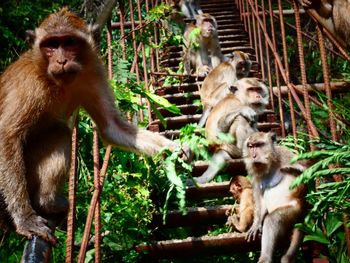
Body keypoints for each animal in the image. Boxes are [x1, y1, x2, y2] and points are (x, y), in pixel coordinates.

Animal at [0, 7, 178, 245]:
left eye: (69, 42)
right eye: (51, 45)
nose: (61, 60)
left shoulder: (92, 74)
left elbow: (111, 126)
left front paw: (177, 148)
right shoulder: (28, 83)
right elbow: (7, 136)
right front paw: (25, 218)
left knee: (59, 131)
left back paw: (46, 202)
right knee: (59, 131)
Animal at [242, 132, 308, 263]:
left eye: (259, 145)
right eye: (251, 146)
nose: (253, 156)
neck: (271, 163)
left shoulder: (287, 154)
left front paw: (296, 170)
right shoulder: (255, 174)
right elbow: (259, 196)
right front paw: (256, 223)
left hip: (295, 210)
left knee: (272, 220)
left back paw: (265, 258)